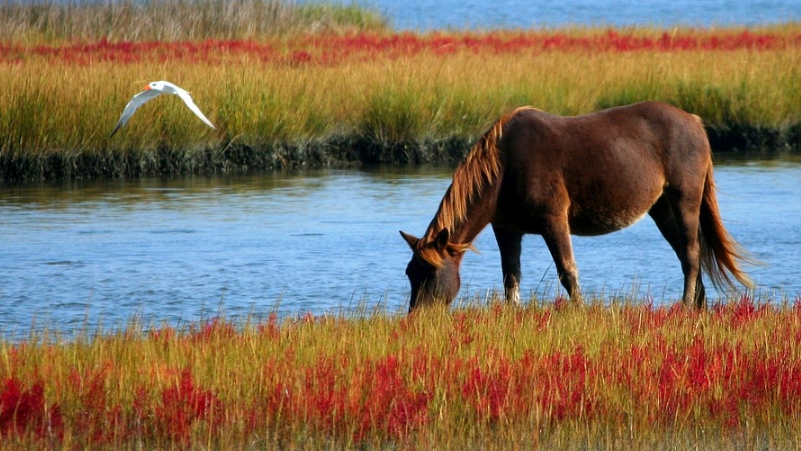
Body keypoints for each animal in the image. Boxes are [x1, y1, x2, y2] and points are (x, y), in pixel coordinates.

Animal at [400, 101, 753, 312]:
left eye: (430, 273)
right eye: (409, 273)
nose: (417, 318)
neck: (504, 166)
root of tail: (694, 122)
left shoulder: (554, 220)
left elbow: (568, 271)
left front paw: (579, 312)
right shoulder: (507, 228)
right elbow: (511, 277)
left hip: (684, 200)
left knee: (691, 254)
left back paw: (686, 306)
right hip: (662, 209)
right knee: (686, 255)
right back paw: (698, 305)